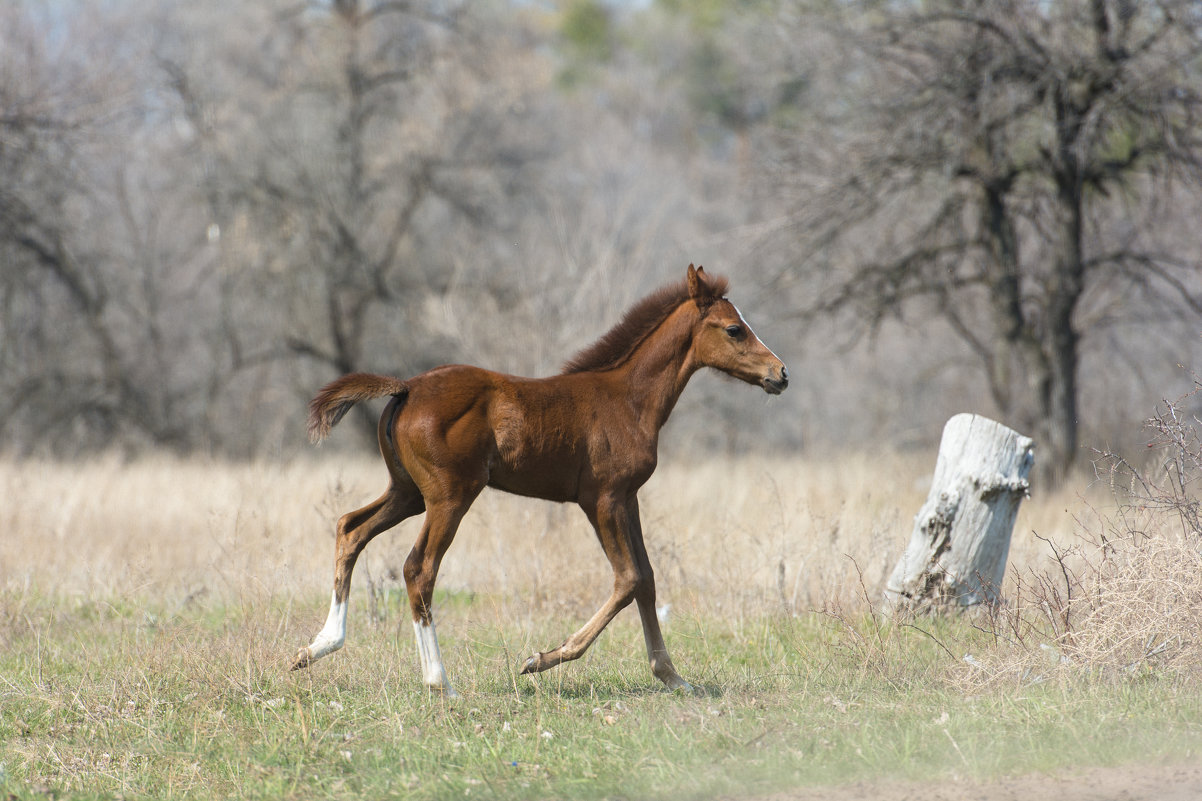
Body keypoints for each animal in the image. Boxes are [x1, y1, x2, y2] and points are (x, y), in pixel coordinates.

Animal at [290, 263, 788, 692]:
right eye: (734, 328)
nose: (781, 374)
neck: (627, 398)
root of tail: (406, 388)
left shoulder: (628, 498)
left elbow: (646, 579)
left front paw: (672, 676)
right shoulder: (602, 499)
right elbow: (627, 578)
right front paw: (542, 659)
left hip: (408, 492)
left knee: (351, 529)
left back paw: (317, 647)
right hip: (450, 496)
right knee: (419, 567)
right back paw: (439, 682)